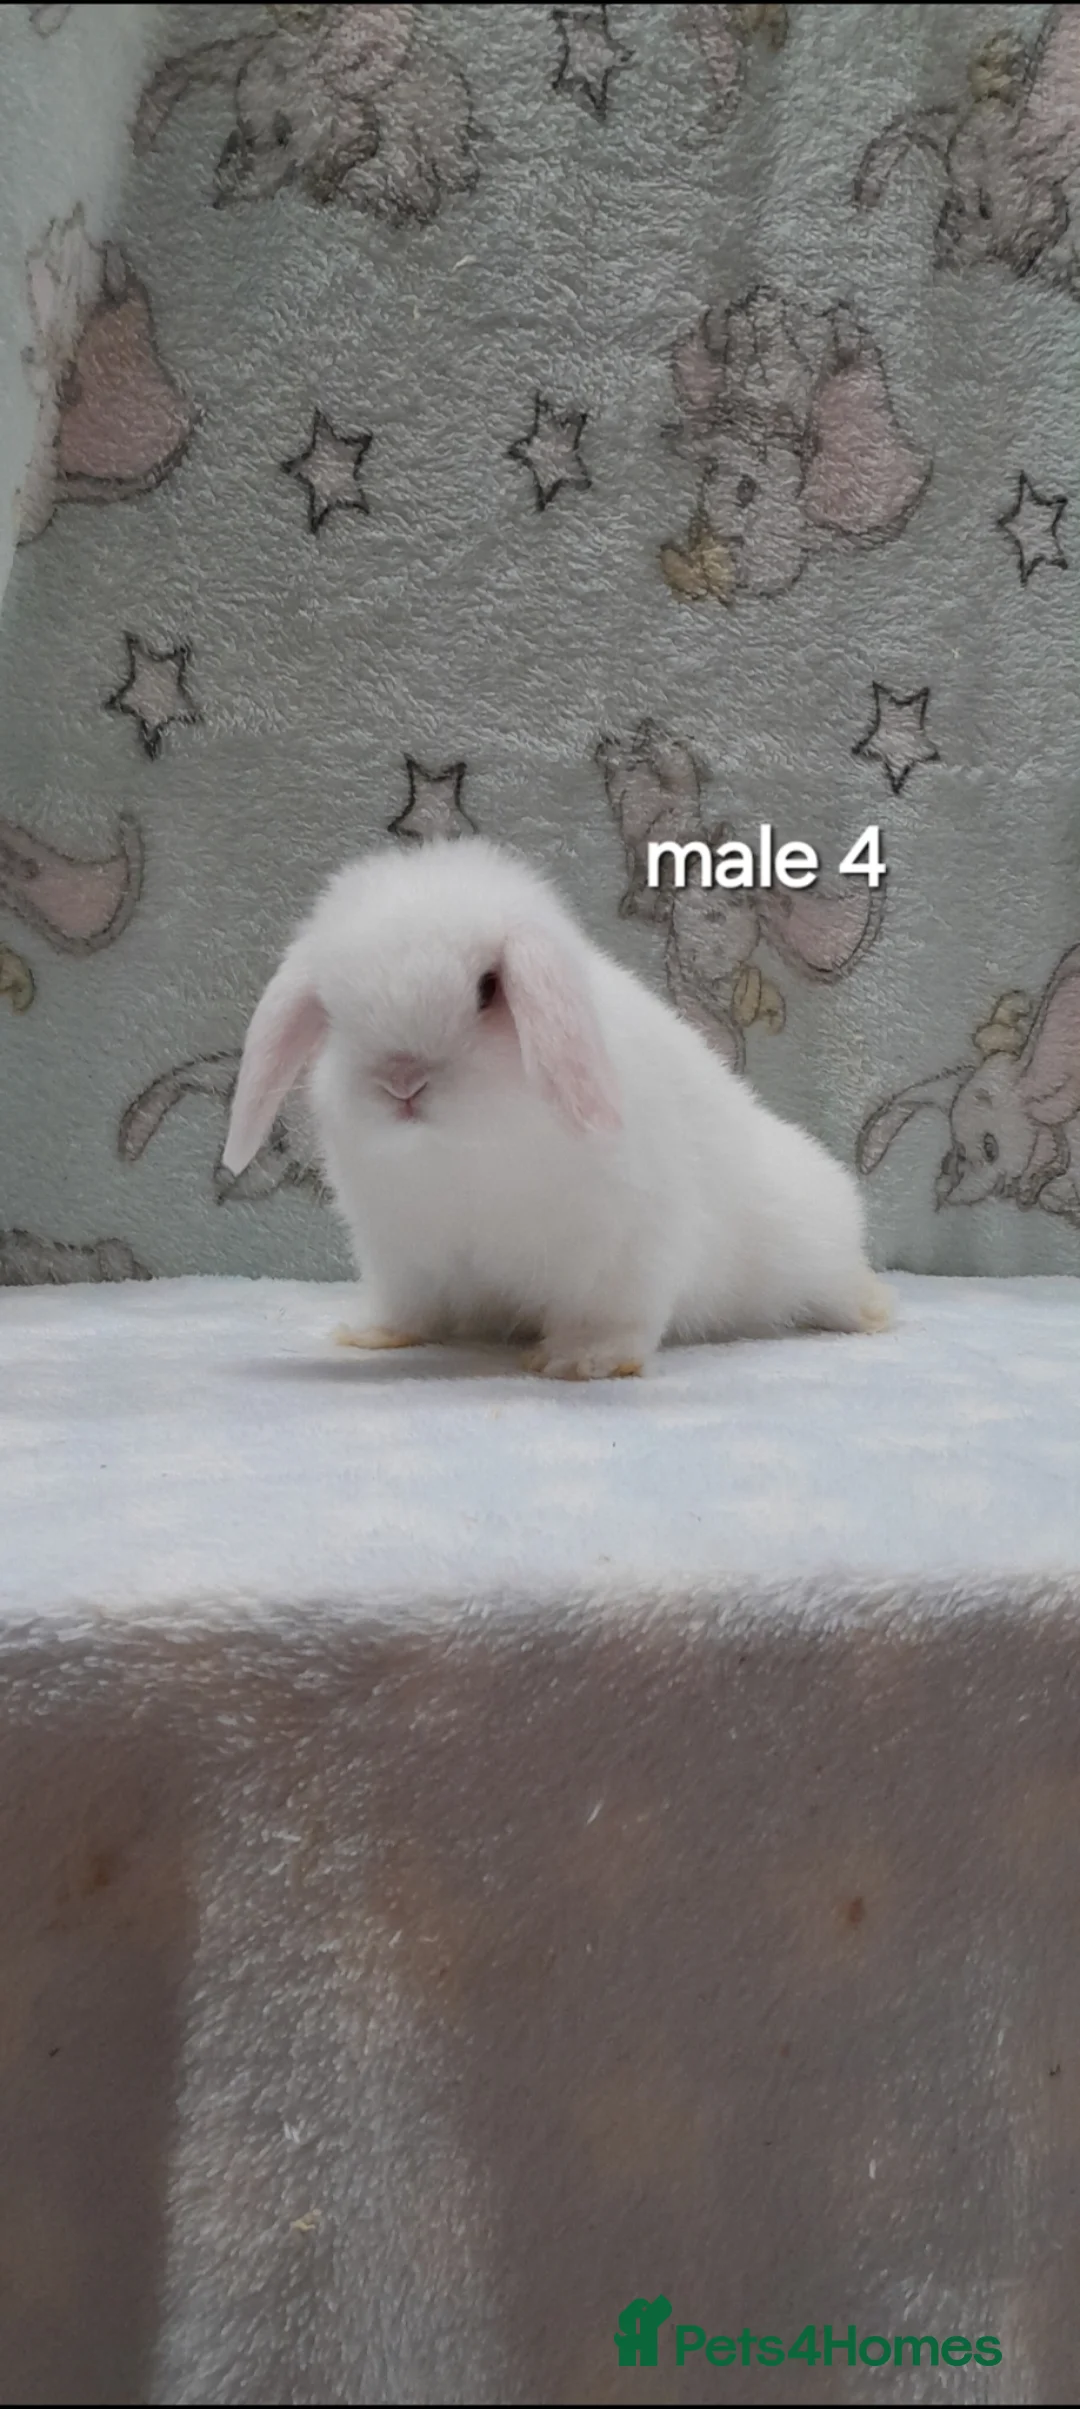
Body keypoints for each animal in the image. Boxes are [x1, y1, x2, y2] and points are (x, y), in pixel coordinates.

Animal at [222, 839, 891, 1379]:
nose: (402, 1082)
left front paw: (583, 1362)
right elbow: (409, 1307)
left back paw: (876, 1309)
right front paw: (369, 1335)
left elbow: (612, 1315)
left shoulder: (623, 1245)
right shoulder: (399, 1253)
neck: (463, 1152)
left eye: (488, 988)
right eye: (332, 1012)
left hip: (809, 1244)